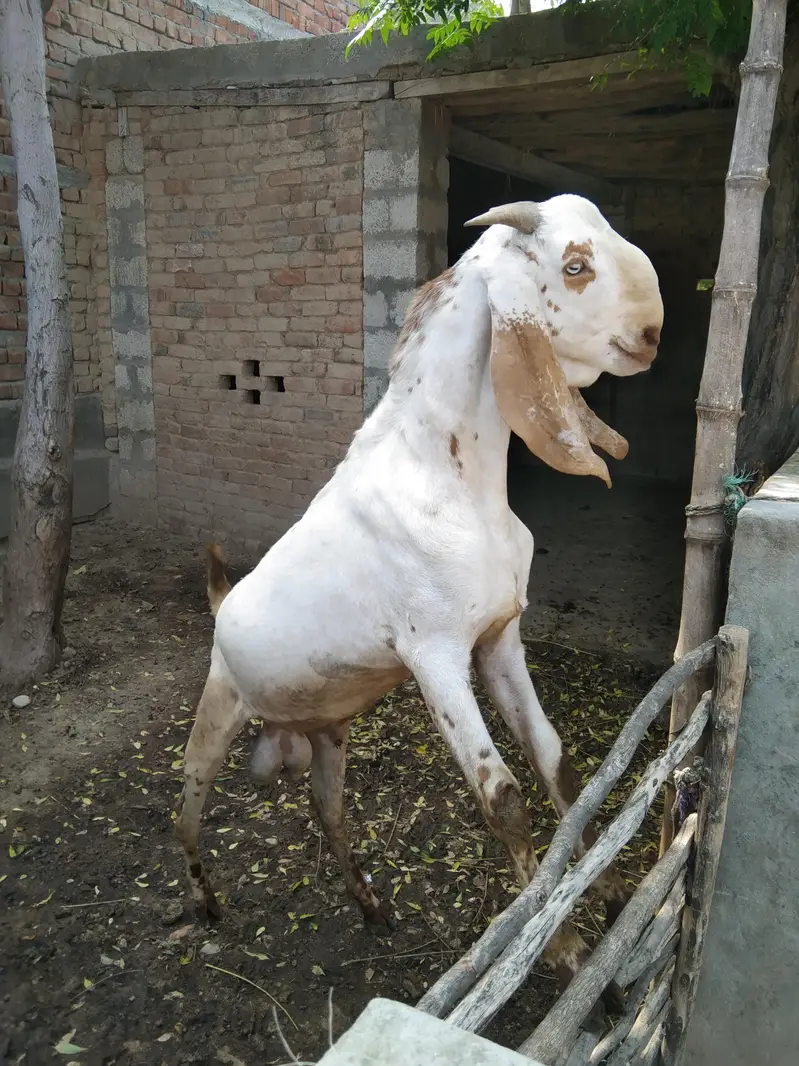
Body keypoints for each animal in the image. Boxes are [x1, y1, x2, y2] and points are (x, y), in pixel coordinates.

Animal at [175, 195, 664, 991]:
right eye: (575, 265)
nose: (649, 336)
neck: (447, 478)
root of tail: (223, 608)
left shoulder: (499, 635)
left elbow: (552, 753)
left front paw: (609, 888)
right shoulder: (434, 654)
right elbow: (500, 796)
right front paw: (562, 951)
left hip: (328, 730)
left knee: (327, 808)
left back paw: (372, 907)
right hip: (217, 706)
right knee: (184, 814)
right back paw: (206, 903)